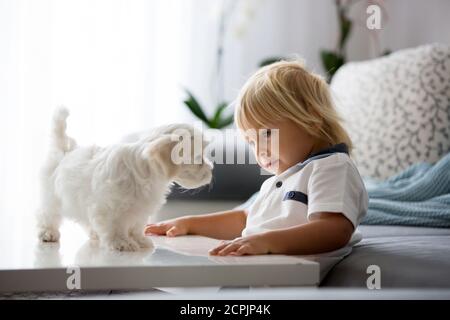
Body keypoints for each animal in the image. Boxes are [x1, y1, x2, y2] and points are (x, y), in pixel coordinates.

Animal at [37, 109, 213, 251]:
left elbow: (137, 226)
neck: (147, 170)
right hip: (51, 195)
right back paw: (48, 232)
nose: (211, 170)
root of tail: (64, 151)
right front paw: (121, 242)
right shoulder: (111, 206)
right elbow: (115, 226)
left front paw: (139, 240)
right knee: (48, 214)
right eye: (198, 158)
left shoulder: (141, 208)